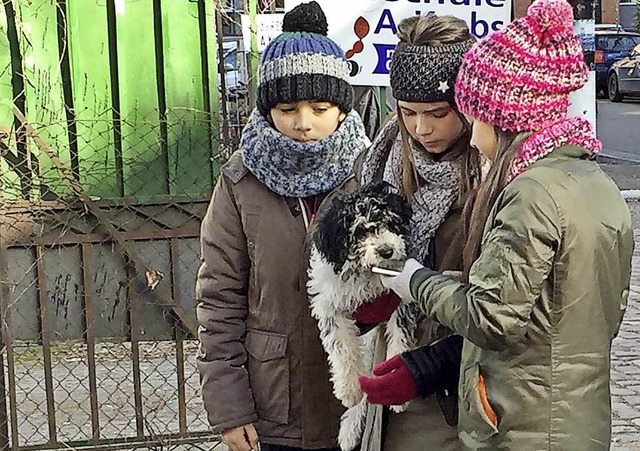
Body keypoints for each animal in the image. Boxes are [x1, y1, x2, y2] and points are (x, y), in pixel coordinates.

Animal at [308, 183, 420, 448]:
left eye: (391, 222)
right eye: (359, 230)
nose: (386, 250)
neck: (366, 274)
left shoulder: (399, 299)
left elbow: (399, 340)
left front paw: (400, 383)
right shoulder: (329, 305)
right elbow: (342, 348)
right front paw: (348, 390)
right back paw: (349, 429)